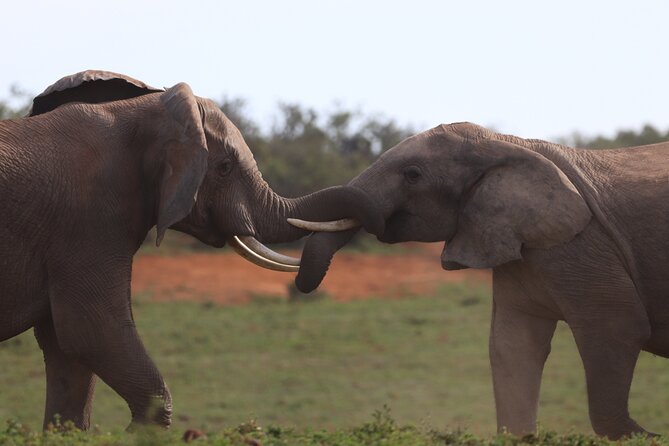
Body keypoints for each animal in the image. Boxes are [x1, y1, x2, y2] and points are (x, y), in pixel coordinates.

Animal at [294, 121, 668, 440]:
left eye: (412, 175)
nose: (302, 286)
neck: (505, 143)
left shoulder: (582, 245)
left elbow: (617, 327)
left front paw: (646, 436)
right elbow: (512, 345)